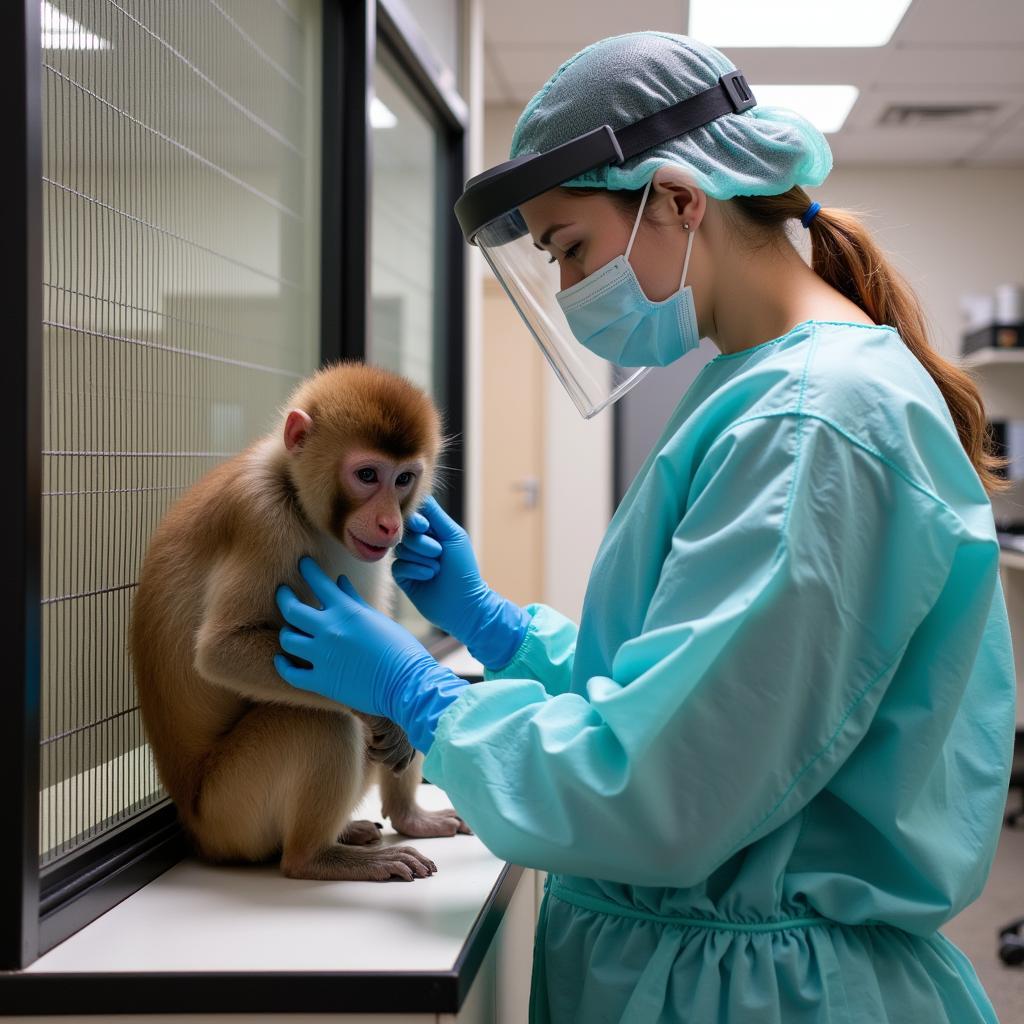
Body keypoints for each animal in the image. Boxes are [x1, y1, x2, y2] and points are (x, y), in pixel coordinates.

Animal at [126, 360, 471, 880]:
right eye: (367, 474)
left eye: (404, 479)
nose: (390, 523)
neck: (295, 494)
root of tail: (196, 830)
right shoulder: (261, 516)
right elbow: (222, 651)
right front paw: (377, 706)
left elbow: (391, 659)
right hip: (231, 813)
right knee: (322, 721)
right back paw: (317, 857)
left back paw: (405, 818)